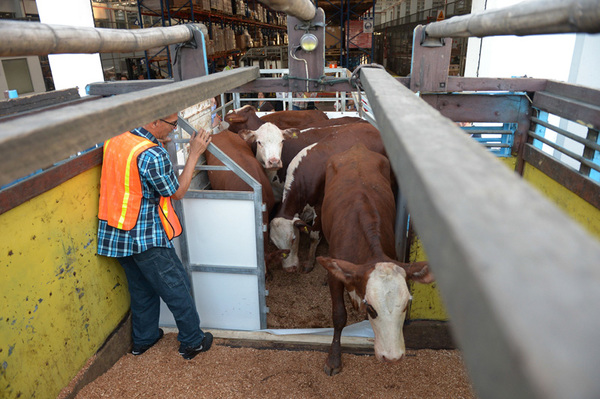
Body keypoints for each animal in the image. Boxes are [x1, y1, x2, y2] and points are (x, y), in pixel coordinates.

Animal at [268, 123, 384, 274]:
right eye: (276, 244)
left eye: (293, 239)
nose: (290, 269)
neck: (305, 178)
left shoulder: (319, 207)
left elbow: (313, 236)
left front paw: (309, 262)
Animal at [316, 145, 434, 376]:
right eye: (371, 307)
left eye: (407, 304)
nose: (393, 357)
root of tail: (356, 149)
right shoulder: (336, 275)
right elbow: (339, 315)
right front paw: (334, 360)